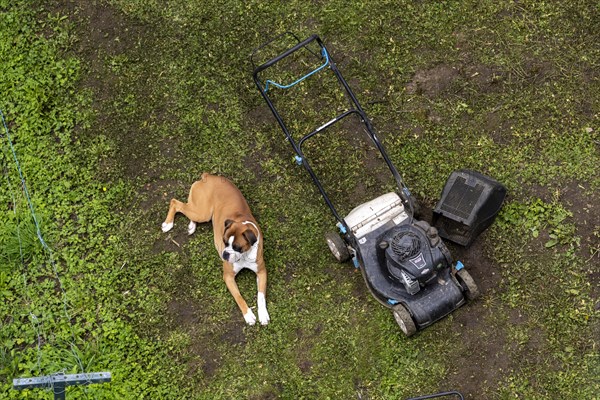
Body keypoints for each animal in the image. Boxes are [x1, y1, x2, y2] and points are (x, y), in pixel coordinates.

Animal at [162, 172, 270, 324]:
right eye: (224, 242)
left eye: (237, 247)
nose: (224, 254)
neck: (243, 256)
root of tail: (209, 176)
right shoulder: (228, 277)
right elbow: (239, 297)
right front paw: (248, 314)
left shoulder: (261, 272)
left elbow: (261, 295)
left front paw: (263, 314)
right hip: (202, 212)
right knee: (175, 203)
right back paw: (168, 224)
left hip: (199, 211)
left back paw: (191, 226)